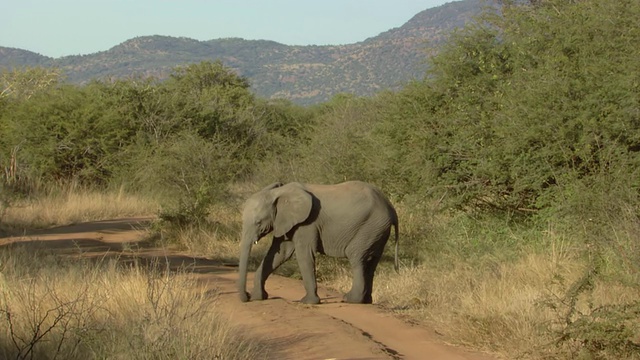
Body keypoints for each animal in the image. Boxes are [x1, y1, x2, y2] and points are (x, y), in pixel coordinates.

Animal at [238, 180, 398, 304]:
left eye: (258, 222)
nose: (247, 296)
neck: (278, 193)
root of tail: (390, 207)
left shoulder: (307, 223)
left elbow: (303, 254)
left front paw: (308, 302)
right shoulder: (286, 221)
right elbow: (279, 254)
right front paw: (258, 298)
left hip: (370, 227)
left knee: (357, 257)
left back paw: (350, 299)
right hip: (377, 230)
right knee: (371, 262)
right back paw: (366, 301)